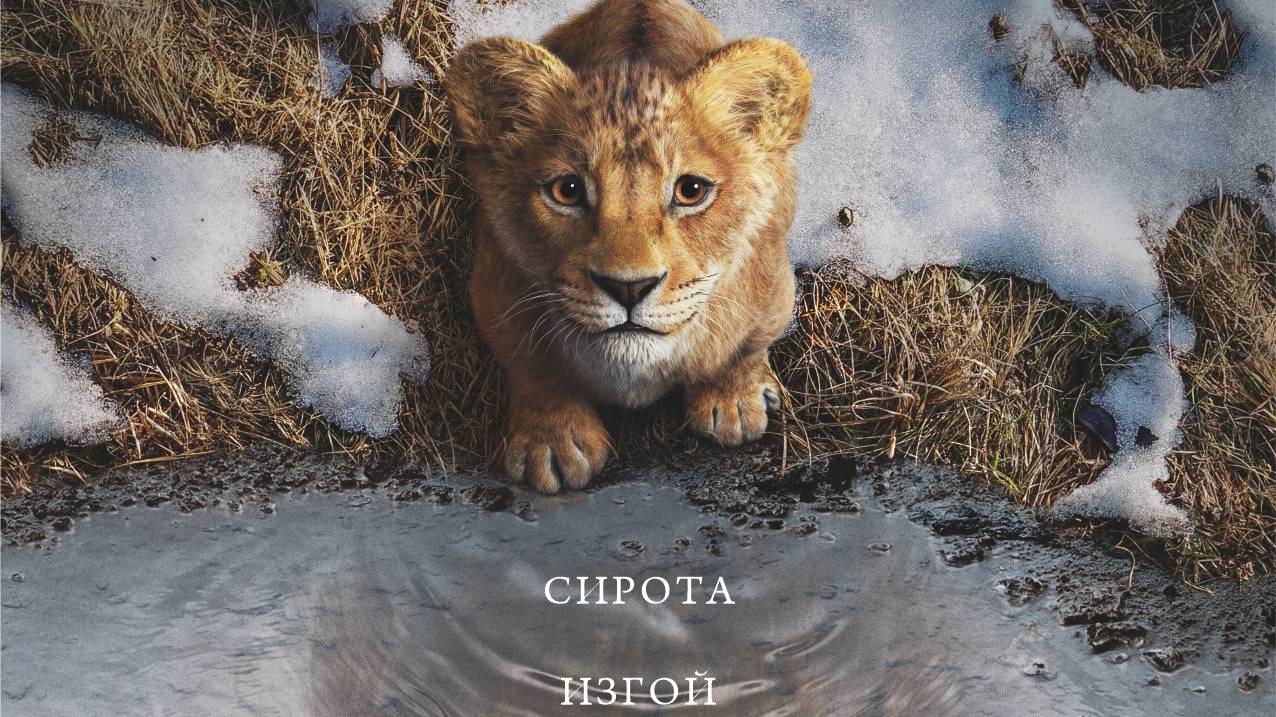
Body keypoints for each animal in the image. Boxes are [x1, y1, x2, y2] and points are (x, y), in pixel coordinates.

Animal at [446, 0, 812, 493]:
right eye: (567, 190)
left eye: (691, 190)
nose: (628, 288)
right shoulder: (494, 286)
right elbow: (531, 365)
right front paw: (553, 442)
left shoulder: (773, 286)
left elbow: (745, 346)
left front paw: (733, 402)